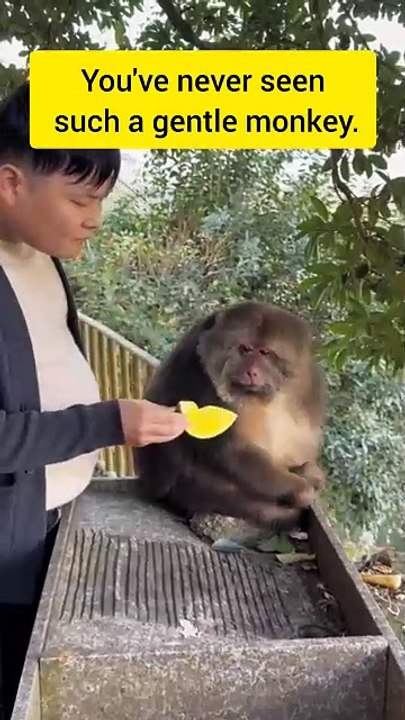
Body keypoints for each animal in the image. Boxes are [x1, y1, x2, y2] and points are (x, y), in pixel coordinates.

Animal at [134, 301, 326, 528]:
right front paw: (299, 489)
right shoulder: (199, 377)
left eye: (264, 352)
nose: (251, 371)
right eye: (244, 349)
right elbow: (231, 450)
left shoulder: (308, 384)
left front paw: (307, 473)